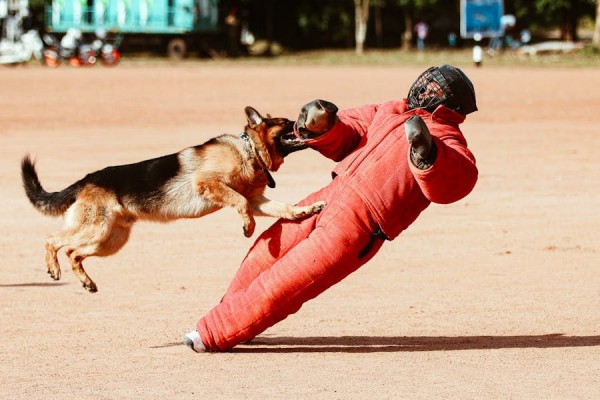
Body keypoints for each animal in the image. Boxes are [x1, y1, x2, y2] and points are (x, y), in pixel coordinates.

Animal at [21, 107, 326, 294]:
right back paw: (53, 268)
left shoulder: (256, 200)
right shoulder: (209, 184)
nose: (303, 125)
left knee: (74, 253)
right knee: (53, 240)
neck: (247, 150)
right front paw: (248, 227)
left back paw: (87, 282)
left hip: (110, 240)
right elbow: (238, 202)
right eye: (284, 123)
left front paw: (306, 210)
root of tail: (85, 180)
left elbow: (283, 208)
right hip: (95, 229)